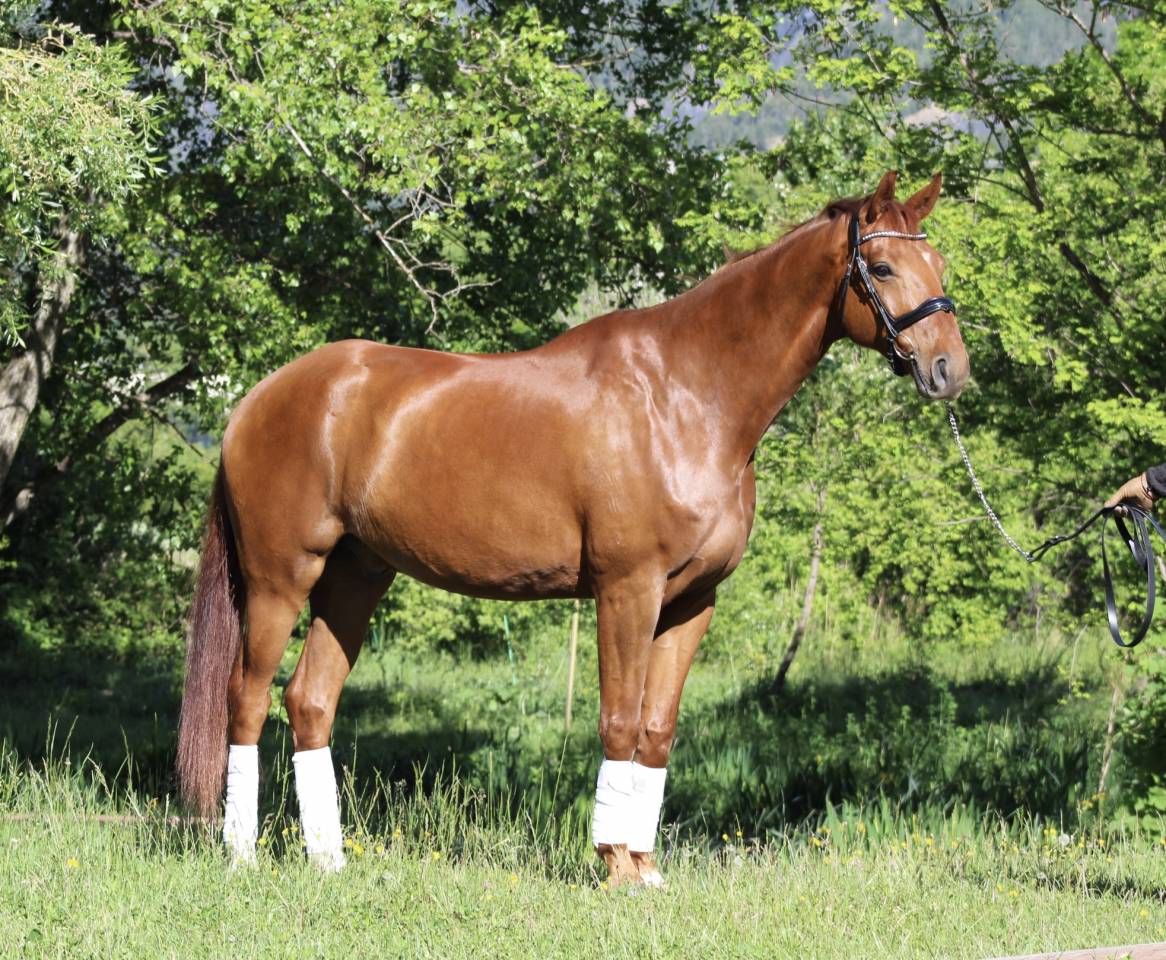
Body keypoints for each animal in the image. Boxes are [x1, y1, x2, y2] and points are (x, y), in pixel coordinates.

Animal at [177, 170, 969, 884]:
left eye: (940, 264)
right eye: (883, 266)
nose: (948, 370)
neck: (687, 395)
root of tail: (258, 399)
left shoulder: (692, 602)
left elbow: (656, 731)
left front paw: (645, 867)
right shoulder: (627, 590)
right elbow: (619, 720)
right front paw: (614, 864)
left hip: (355, 577)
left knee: (309, 701)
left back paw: (329, 861)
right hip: (281, 580)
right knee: (247, 701)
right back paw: (242, 855)